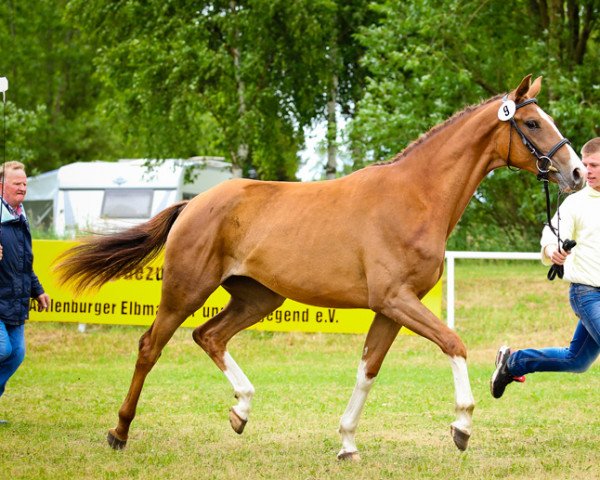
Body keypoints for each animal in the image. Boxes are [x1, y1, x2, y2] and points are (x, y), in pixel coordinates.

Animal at [55, 74, 580, 458]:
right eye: (532, 124)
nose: (575, 172)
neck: (416, 196)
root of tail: (194, 202)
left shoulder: (391, 308)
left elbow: (368, 370)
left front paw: (347, 442)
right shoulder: (396, 299)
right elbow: (454, 342)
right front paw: (462, 425)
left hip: (258, 297)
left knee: (209, 336)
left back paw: (241, 411)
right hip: (186, 290)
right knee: (151, 346)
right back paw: (120, 432)